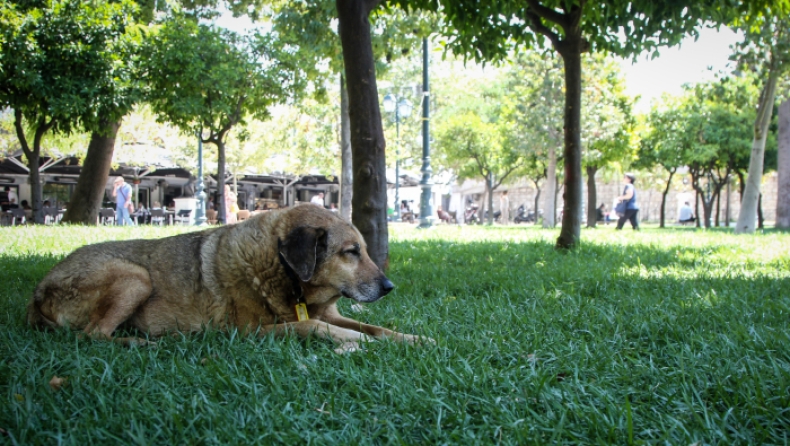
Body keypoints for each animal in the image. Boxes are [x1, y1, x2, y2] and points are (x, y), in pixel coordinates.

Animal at [27, 205, 430, 352]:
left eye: (364, 249)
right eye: (351, 252)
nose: (389, 287)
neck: (281, 270)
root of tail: (37, 293)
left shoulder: (330, 311)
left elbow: (376, 326)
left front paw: (414, 338)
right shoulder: (250, 332)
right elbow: (312, 326)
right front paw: (355, 341)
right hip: (134, 275)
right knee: (92, 335)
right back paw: (143, 343)